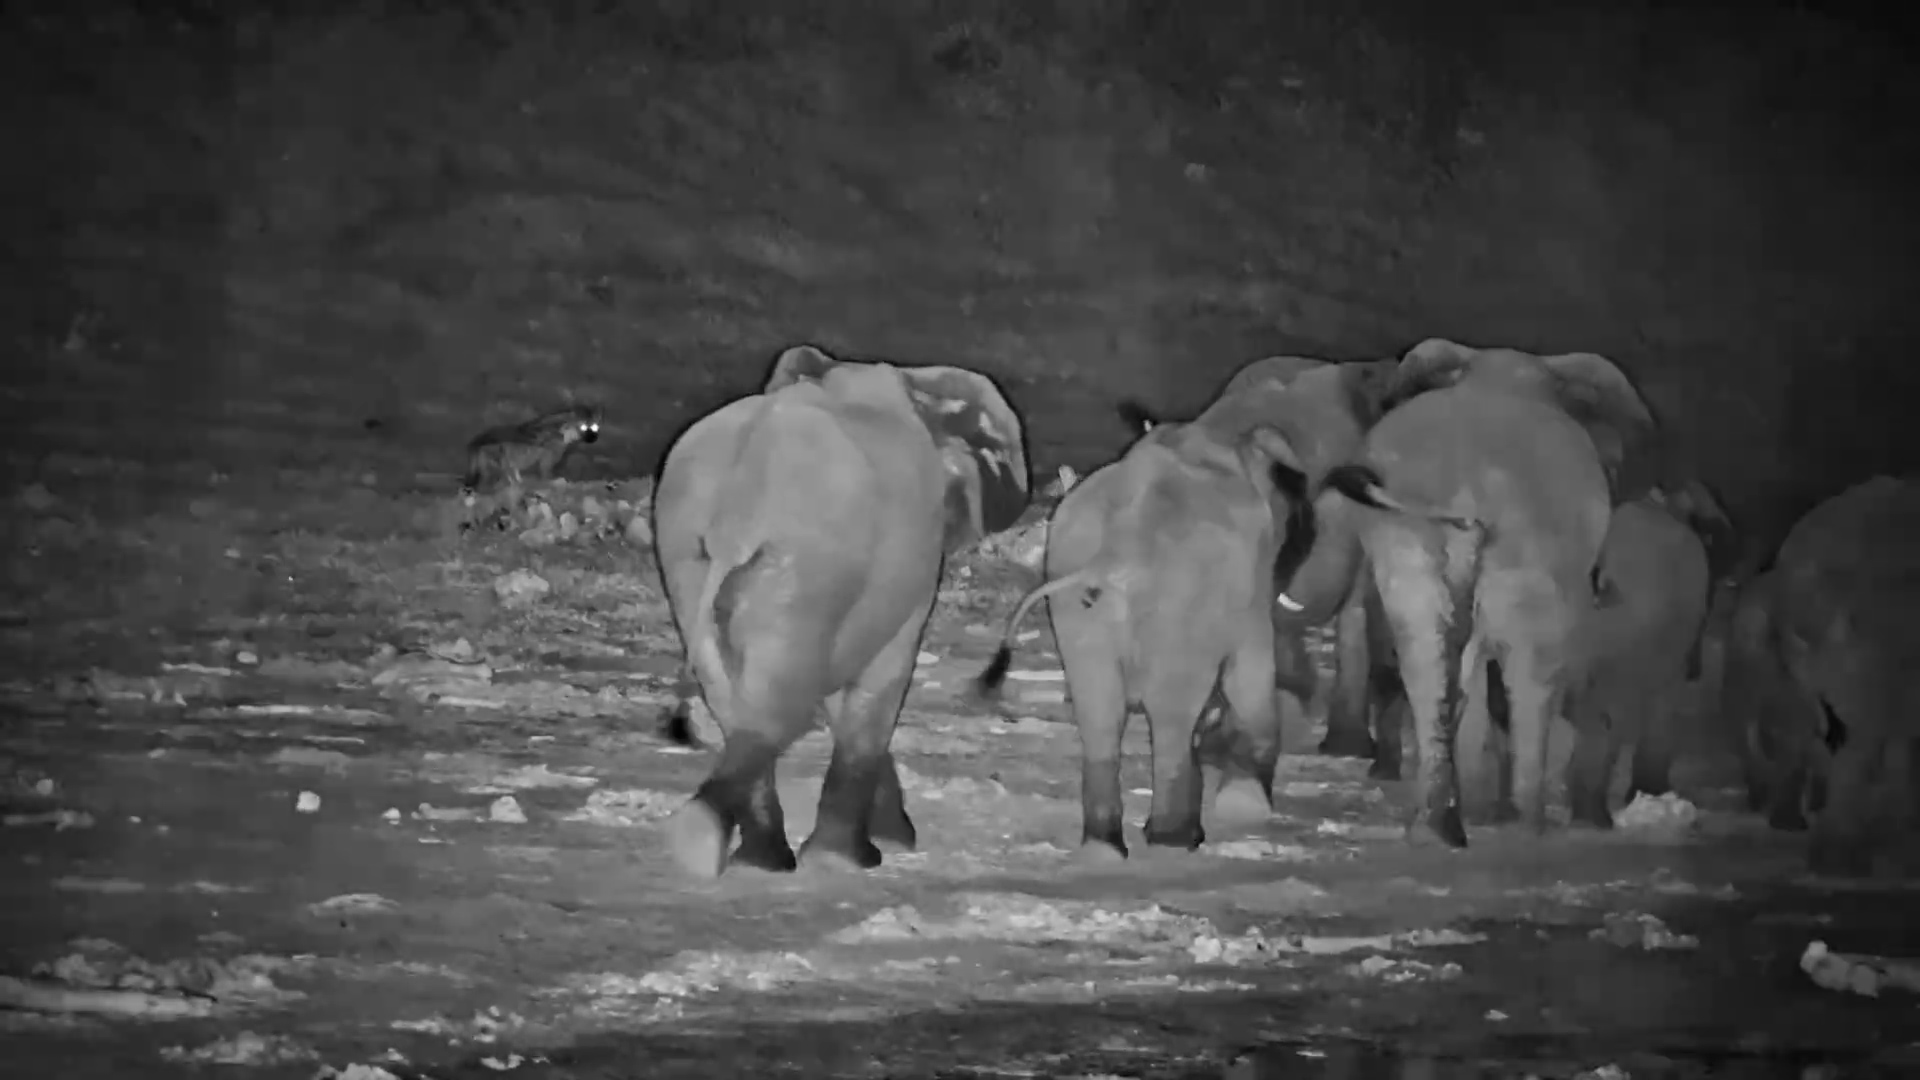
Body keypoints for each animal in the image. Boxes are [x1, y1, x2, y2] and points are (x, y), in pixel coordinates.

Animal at [652, 343, 1029, 877]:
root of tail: (737, 509)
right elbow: (882, 680)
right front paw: (853, 858)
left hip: (690, 553)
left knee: (745, 700)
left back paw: (751, 859)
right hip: (809, 565)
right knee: (781, 706)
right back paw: (710, 845)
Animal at [971, 396, 1320, 859]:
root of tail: (1118, 552)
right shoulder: (1249, 588)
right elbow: (1250, 674)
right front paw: (1247, 801)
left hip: (1076, 602)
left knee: (1099, 712)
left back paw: (1104, 847)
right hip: (1178, 603)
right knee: (1172, 713)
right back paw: (1175, 840)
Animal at [1319, 338, 1657, 846]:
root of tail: (1467, 486)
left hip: (1405, 541)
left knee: (1428, 659)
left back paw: (1435, 827)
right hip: (1530, 552)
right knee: (1529, 673)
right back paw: (1528, 826)